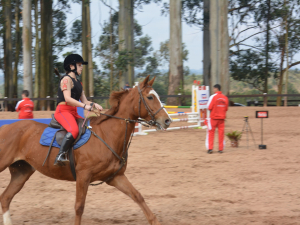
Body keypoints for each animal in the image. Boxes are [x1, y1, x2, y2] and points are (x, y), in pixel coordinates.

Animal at [0, 76, 171, 225]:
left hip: (22, 171)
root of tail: (6, 127)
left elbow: (137, 196)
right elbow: (79, 207)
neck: (106, 135)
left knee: (5, 197)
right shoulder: (83, 176)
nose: (167, 120)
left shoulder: (115, 177)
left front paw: (154, 221)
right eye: (150, 97)